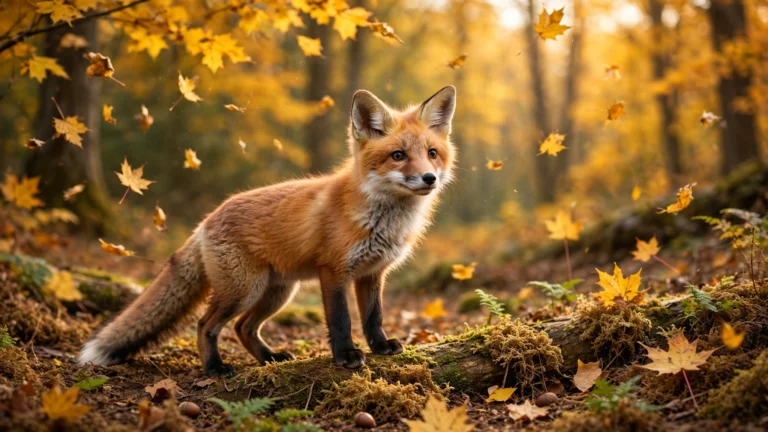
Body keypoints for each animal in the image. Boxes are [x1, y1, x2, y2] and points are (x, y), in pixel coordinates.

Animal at [79, 86, 457, 377]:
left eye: (432, 153)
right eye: (398, 155)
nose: (429, 179)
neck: (382, 218)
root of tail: (206, 220)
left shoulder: (372, 273)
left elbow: (373, 317)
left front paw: (380, 346)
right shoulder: (334, 270)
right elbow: (342, 320)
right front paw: (346, 355)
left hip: (276, 292)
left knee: (243, 327)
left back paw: (269, 359)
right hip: (244, 290)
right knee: (206, 325)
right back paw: (215, 368)